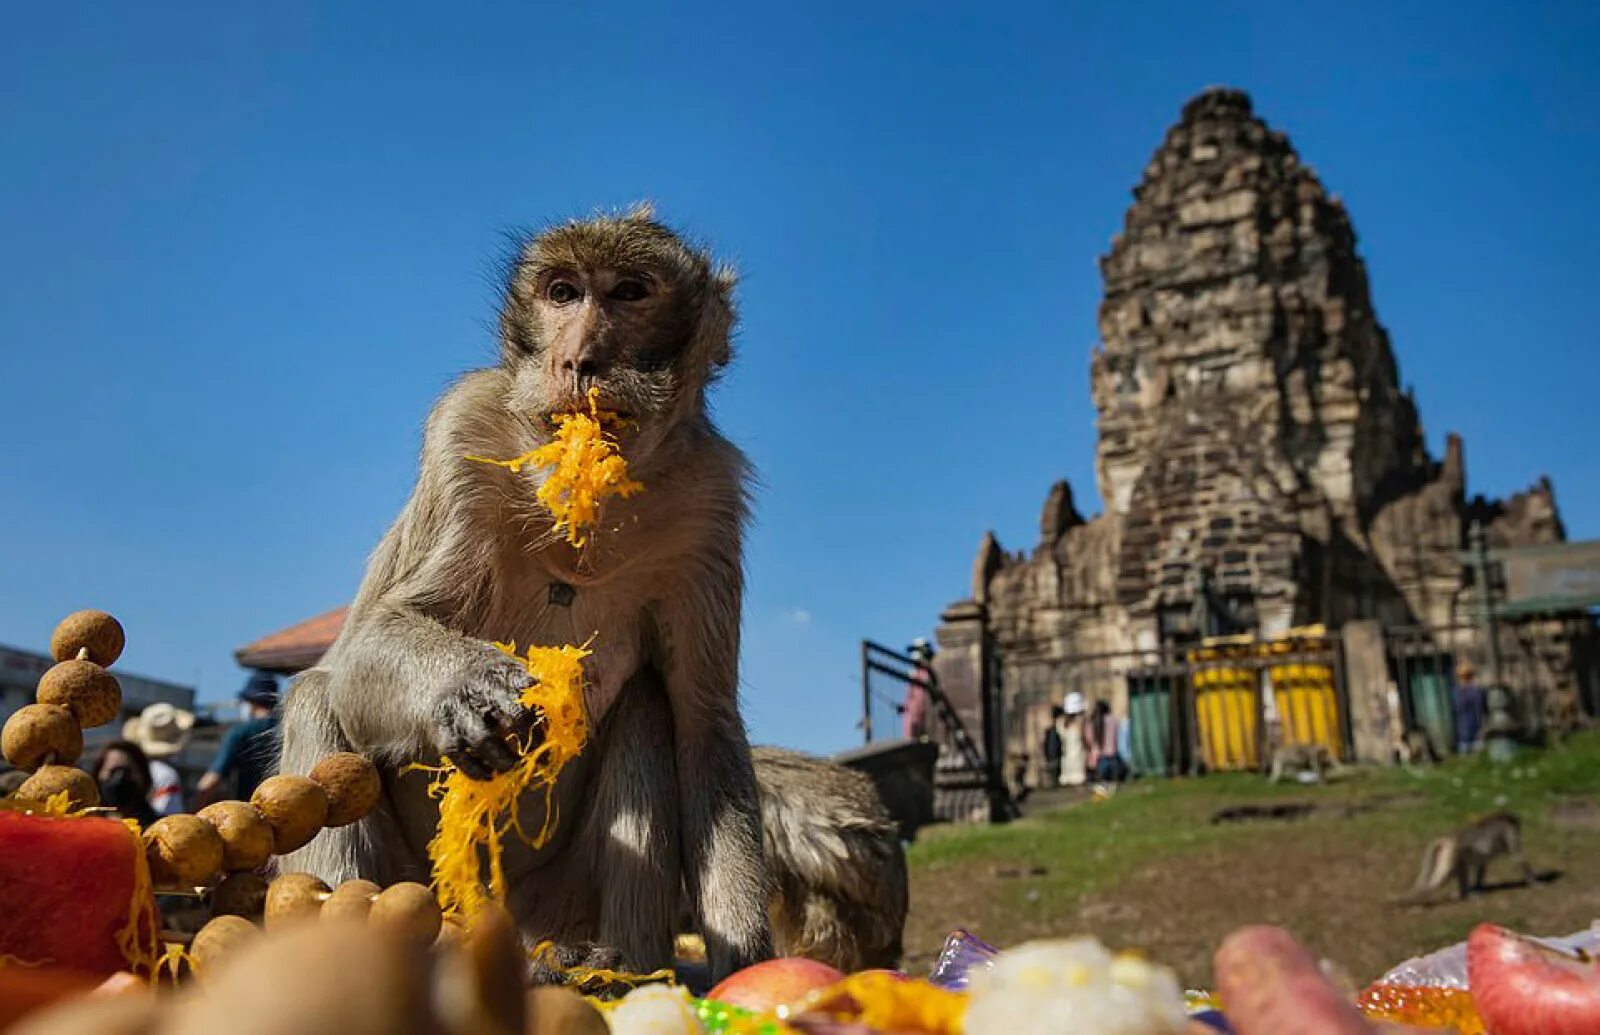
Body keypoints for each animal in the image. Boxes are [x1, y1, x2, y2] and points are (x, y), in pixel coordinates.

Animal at [280, 204, 774, 985]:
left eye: (630, 292)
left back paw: (602, 961)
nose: (576, 360)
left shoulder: (712, 499)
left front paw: (745, 963)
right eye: (563, 292)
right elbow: (364, 644)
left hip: (556, 898)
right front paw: (467, 683)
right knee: (317, 697)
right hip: (418, 889)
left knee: (647, 706)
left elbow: (705, 726)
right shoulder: (463, 428)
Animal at [1401, 812, 1536, 902]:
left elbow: (1482, 864)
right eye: (1516, 826)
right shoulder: (1508, 832)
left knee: (1459, 870)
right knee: (1443, 877)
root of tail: (1448, 837)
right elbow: (1518, 857)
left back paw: (1464, 895)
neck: (1501, 817)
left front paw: (1478, 887)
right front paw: (1535, 882)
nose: (1518, 830)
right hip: (1453, 851)